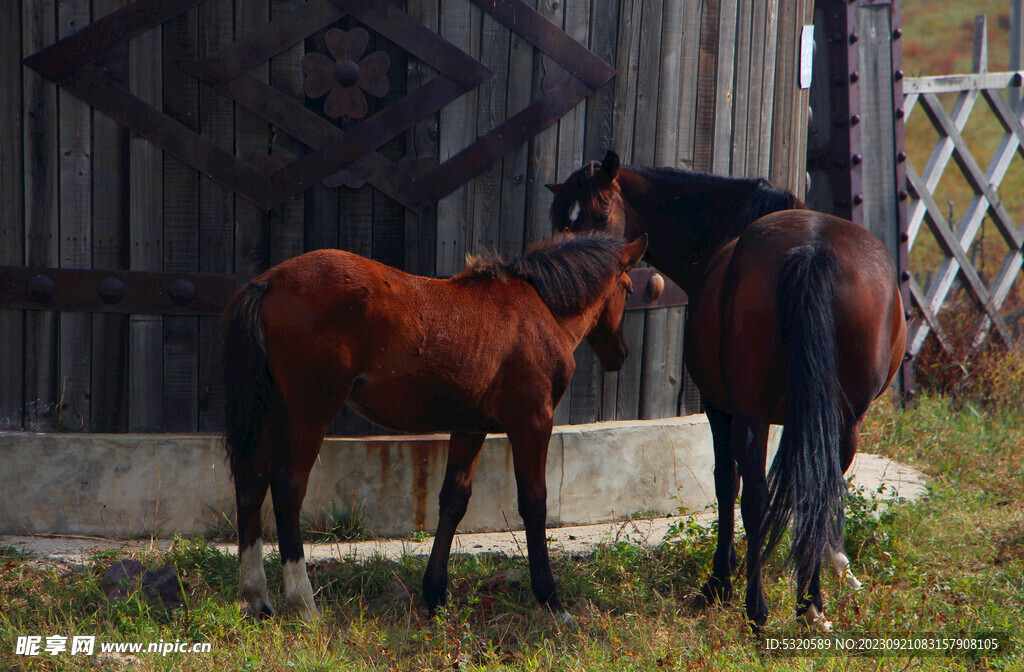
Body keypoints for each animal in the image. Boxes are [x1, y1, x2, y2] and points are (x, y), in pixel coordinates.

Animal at [222, 232, 647, 622]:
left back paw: (257, 598)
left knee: (251, 481)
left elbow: (453, 501)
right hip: (311, 411)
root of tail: (269, 281)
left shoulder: (470, 428)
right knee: (287, 485)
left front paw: (435, 594)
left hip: (275, 410)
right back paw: (303, 602)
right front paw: (551, 600)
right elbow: (534, 502)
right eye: (628, 289)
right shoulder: (533, 422)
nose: (621, 354)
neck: (537, 309)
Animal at [548, 150, 909, 631]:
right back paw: (808, 603)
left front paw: (719, 584)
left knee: (757, 495)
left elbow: (725, 484)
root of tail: (812, 251)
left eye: (602, 214)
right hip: (841, 420)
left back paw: (761, 608)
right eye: (560, 221)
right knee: (810, 493)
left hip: (755, 413)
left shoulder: (720, 409)